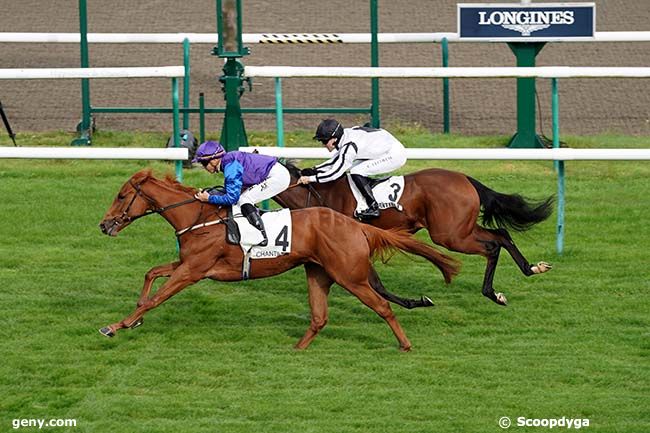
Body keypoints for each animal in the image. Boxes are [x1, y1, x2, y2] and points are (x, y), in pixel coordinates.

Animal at [98, 170, 458, 352]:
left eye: (120, 196)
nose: (103, 225)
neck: (198, 217)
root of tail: (357, 225)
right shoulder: (188, 264)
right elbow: (151, 273)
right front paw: (133, 317)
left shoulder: (193, 270)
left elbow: (155, 298)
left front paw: (117, 325)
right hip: (318, 272)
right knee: (319, 317)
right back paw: (297, 349)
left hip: (349, 276)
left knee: (382, 306)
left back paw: (405, 345)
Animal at [276, 161, 556, 304]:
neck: (321, 194)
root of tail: (465, 178)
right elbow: (377, 285)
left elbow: (376, 286)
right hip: (461, 228)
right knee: (501, 234)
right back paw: (530, 268)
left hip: (450, 235)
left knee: (492, 246)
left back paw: (492, 292)